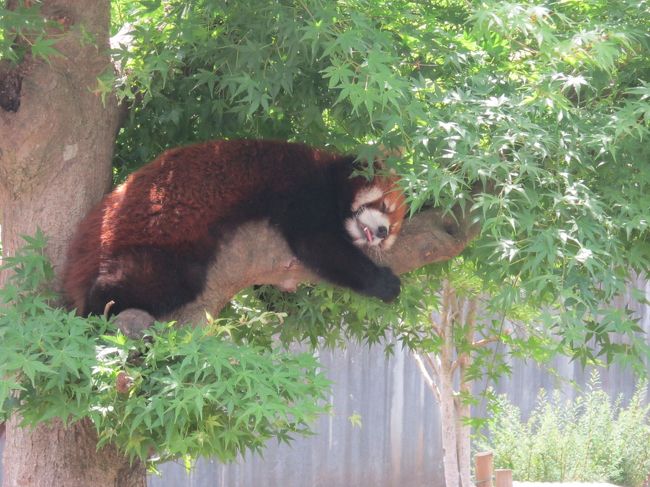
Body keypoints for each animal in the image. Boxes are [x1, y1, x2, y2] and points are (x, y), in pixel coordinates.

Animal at [62, 139, 404, 318]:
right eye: (385, 207)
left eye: (395, 229)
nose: (383, 233)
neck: (329, 177)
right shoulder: (303, 188)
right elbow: (318, 244)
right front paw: (384, 284)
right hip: (156, 240)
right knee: (154, 279)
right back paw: (98, 304)